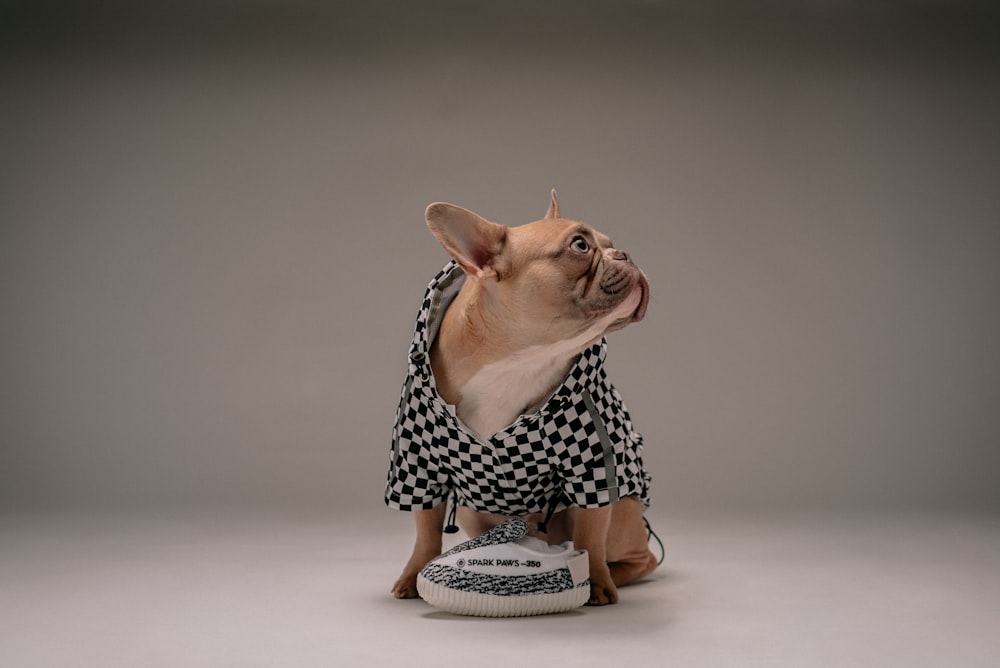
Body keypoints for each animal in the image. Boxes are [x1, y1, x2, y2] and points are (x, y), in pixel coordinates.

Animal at [384, 189, 656, 604]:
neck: (519, 360)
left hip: (623, 510)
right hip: (471, 511)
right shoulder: (418, 466)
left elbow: (591, 536)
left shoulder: (593, 468)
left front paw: (595, 580)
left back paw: (612, 576)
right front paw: (413, 575)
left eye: (609, 243)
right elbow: (426, 529)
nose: (624, 253)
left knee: (641, 558)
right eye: (580, 245)